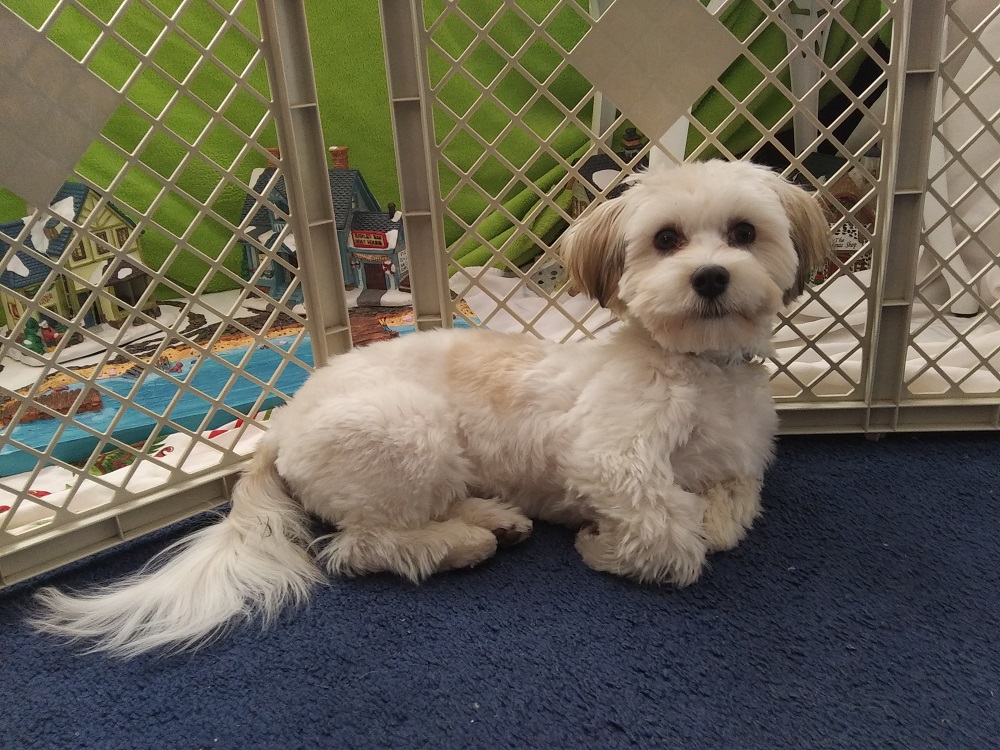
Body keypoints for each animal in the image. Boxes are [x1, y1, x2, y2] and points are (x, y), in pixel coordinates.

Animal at [31, 160, 828, 656]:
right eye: (665, 239)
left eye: (744, 232)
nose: (710, 276)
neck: (697, 368)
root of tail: (278, 431)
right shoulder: (609, 456)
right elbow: (670, 529)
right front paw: (608, 549)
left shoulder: (740, 461)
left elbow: (729, 508)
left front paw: (695, 522)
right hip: (412, 433)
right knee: (362, 545)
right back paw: (464, 542)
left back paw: (493, 517)